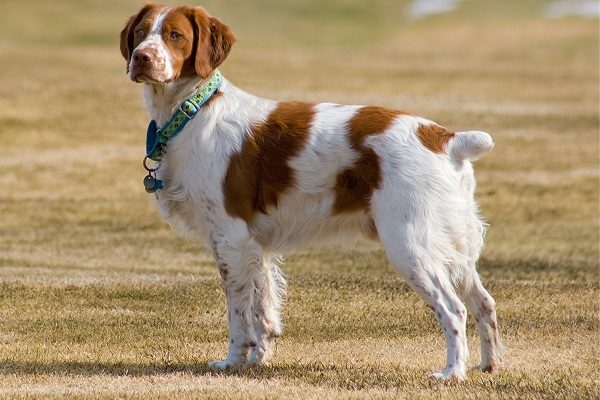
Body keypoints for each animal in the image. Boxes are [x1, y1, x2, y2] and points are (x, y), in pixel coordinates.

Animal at [119, 3, 504, 380]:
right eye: (141, 32)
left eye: (175, 35)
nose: (141, 57)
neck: (193, 112)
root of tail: (445, 138)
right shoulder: (255, 246)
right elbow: (263, 309)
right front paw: (257, 360)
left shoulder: (230, 239)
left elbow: (239, 314)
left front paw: (232, 363)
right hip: (452, 245)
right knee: (484, 302)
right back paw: (488, 365)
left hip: (409, 244)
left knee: (454, 309)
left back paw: (452, 372)